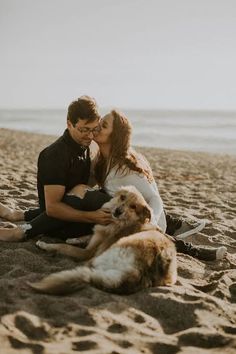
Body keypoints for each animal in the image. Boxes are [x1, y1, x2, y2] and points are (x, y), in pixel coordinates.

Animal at [29, 187, 177, 294]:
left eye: (133, 207)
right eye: (122, 197)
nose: (118, 211)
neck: (123, 222)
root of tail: (139, 273)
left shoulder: (88, 252)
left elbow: (63, 246)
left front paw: (45, 244)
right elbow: (88, 236)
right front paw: (73, 239)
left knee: (86, 264)